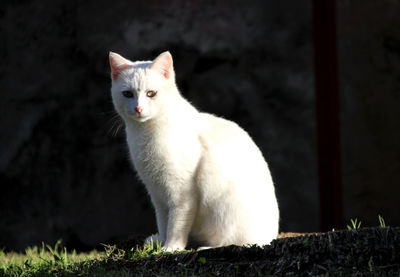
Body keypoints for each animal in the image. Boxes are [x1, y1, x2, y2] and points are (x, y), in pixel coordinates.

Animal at [108, 50, 280, 250]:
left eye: (151, 93)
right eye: (127, 94)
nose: (138, 108)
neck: (144, 134)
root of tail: (270, 238)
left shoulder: (182, 191)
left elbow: (176, 223)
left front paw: (171, 247)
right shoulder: (156, 192)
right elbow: (163, 220)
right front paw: (160, 241)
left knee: (236, 242)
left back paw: (207, 247)